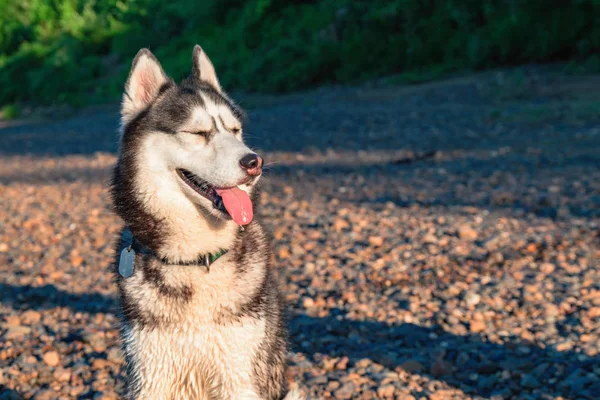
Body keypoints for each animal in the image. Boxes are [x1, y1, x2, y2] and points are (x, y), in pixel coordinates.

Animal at [110, 45, 302, 398]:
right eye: (198, 134)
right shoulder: (150, 376)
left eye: (235, 131)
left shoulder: (239, 376)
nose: (254, 162)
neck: (196, 260)